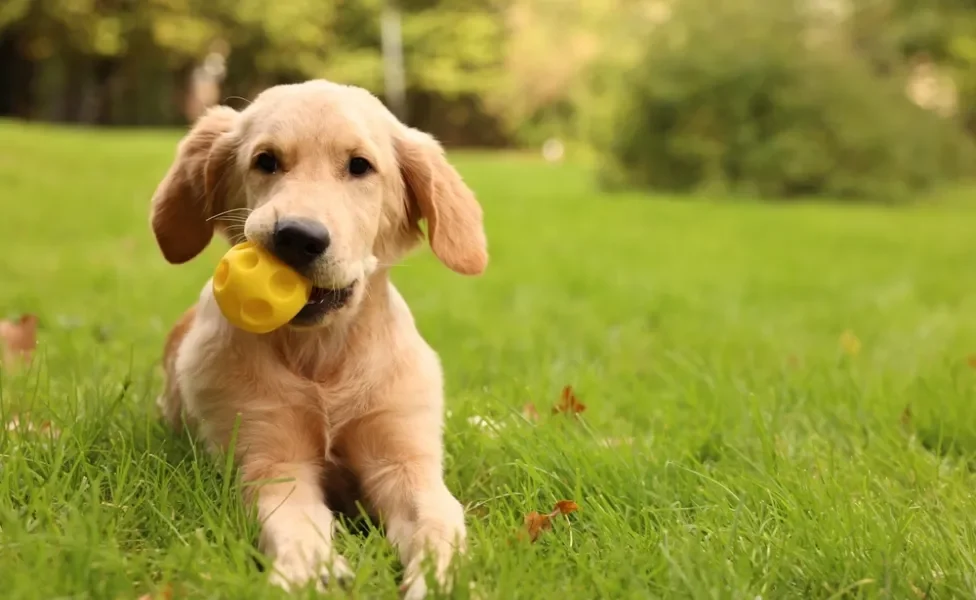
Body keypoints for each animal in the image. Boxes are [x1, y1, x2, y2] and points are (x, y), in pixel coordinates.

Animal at [151, 81, 486, 600]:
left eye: (359, 166)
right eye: (266, 161)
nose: (296, 236)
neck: (323, 356)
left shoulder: (404, 458)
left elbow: (439, 518)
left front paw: (441, 577)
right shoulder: (269, 456)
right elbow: (294, 519)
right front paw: (312, 569)